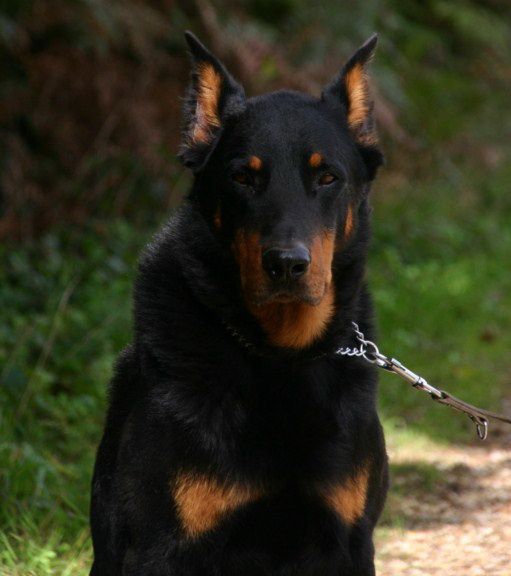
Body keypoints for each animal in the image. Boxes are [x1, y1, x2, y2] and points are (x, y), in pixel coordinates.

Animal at [91, 31, 388, 576]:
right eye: (243, 178)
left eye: (328, 178)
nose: (287, 264)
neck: (279, 357)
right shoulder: (159, 546)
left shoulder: (352, 540)